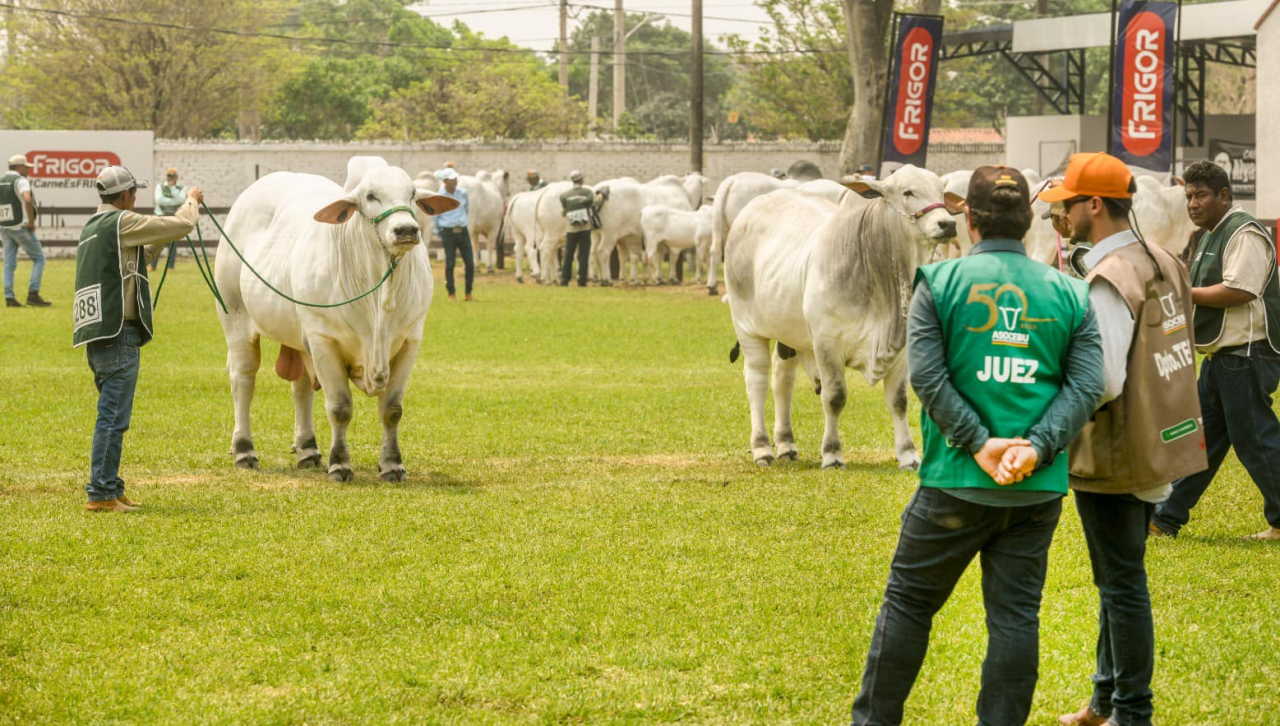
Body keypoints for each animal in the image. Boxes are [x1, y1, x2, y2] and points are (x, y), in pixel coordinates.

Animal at [217, 154, 458, 484]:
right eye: (370, 196)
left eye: (412, 194)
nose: (406, 229)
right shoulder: (324, 340)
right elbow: (340, 407)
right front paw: (340, 465)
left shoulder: (410, 341)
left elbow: (392, 409)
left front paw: (392, 465)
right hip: (236, 317)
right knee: (243, 380)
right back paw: (244, 451)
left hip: (300, 338)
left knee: (301, 388)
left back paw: (307, 449)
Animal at [727, 165, 962, 468]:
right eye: (907, 192)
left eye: (941, 191)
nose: (948, 224)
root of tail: (752, 207)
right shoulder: (826, 343)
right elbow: (835, 397)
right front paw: (832, 454)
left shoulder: (903, 348)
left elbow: (898, 400)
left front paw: (908, 455)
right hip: (747, 327)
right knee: (756, 380)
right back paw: (762, 448)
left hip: (789, 335)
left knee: (782, 380)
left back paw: (786, 444)